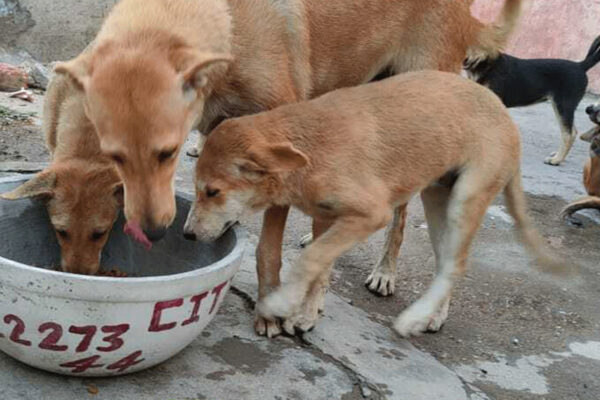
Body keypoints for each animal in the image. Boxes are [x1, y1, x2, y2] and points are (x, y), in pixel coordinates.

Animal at [50, 0, 520, 338]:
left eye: (168, 153)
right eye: (115, 156)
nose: (154, 232)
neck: (229, 30)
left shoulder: (276, 152)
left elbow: (267, 250)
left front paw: (269, 311)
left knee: (407, 215)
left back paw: (389, 278)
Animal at [183, 71, 568, 338]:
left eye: (212, 192)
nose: (186, 235)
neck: (308, 150)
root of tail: (504, 113)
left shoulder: (371, 214)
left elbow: (309, 259)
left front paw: (281, 304)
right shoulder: (328, 220)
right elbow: (319, 266)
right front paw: (305, 315)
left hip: (466, 199)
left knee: (457, 263)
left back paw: (415, 317)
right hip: (438, 202)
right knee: (448, 263)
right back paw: (435, 314)